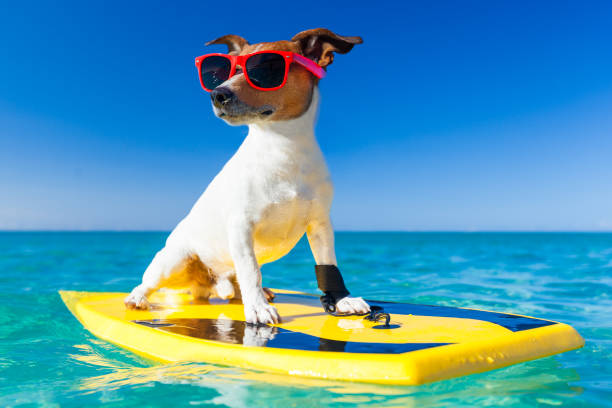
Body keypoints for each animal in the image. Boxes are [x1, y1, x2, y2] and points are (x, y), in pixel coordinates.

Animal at [125, 27, 368, 324]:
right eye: (225, 72)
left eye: (266, 68)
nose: (217, 94)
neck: (283, 147)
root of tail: (208, 284)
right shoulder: (241, 225)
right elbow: (251, 269)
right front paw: (258, 308)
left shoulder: (320, 224)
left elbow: (327, 265)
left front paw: (342, 300)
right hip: (174, 261)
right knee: (148, 282)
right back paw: (137, 298)